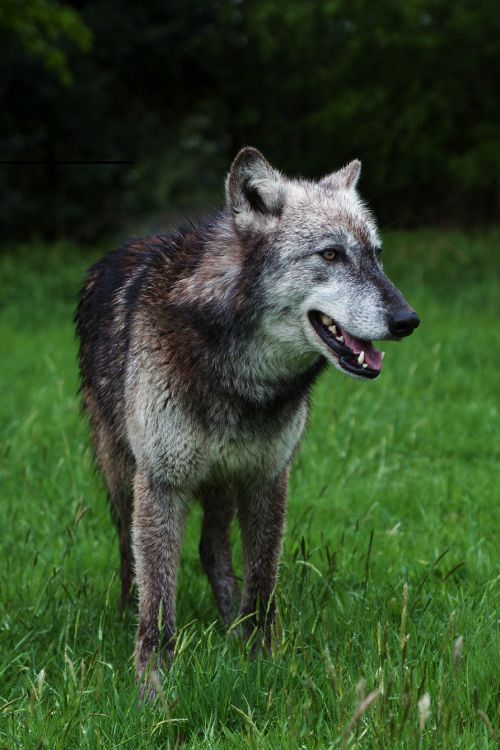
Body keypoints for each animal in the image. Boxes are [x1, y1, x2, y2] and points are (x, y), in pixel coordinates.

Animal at [75, 147, 419, 689]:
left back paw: (229, 625)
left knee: (211, 551)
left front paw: (258, 661)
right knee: (130, 561)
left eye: (377, 255)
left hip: (219, 481)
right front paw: (152, 689)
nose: (407, 320)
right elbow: (159, 604)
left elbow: (261, 583)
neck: (241, 381)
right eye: (330, 255)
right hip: (122, 477)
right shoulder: (162, 483)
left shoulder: (266, 477)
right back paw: (128, 619)